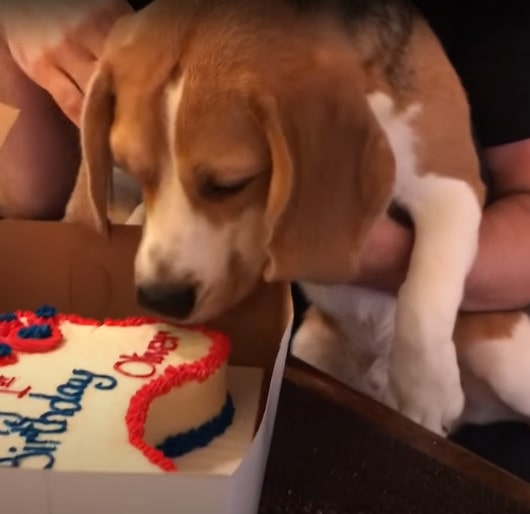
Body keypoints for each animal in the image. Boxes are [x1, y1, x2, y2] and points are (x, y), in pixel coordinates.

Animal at [65, 0, 524, 436]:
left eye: (230, 184)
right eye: (129, 168)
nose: (161, 299)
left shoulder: (451, 182)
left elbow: (424, 291)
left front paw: (423, 390)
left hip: (506, 359)